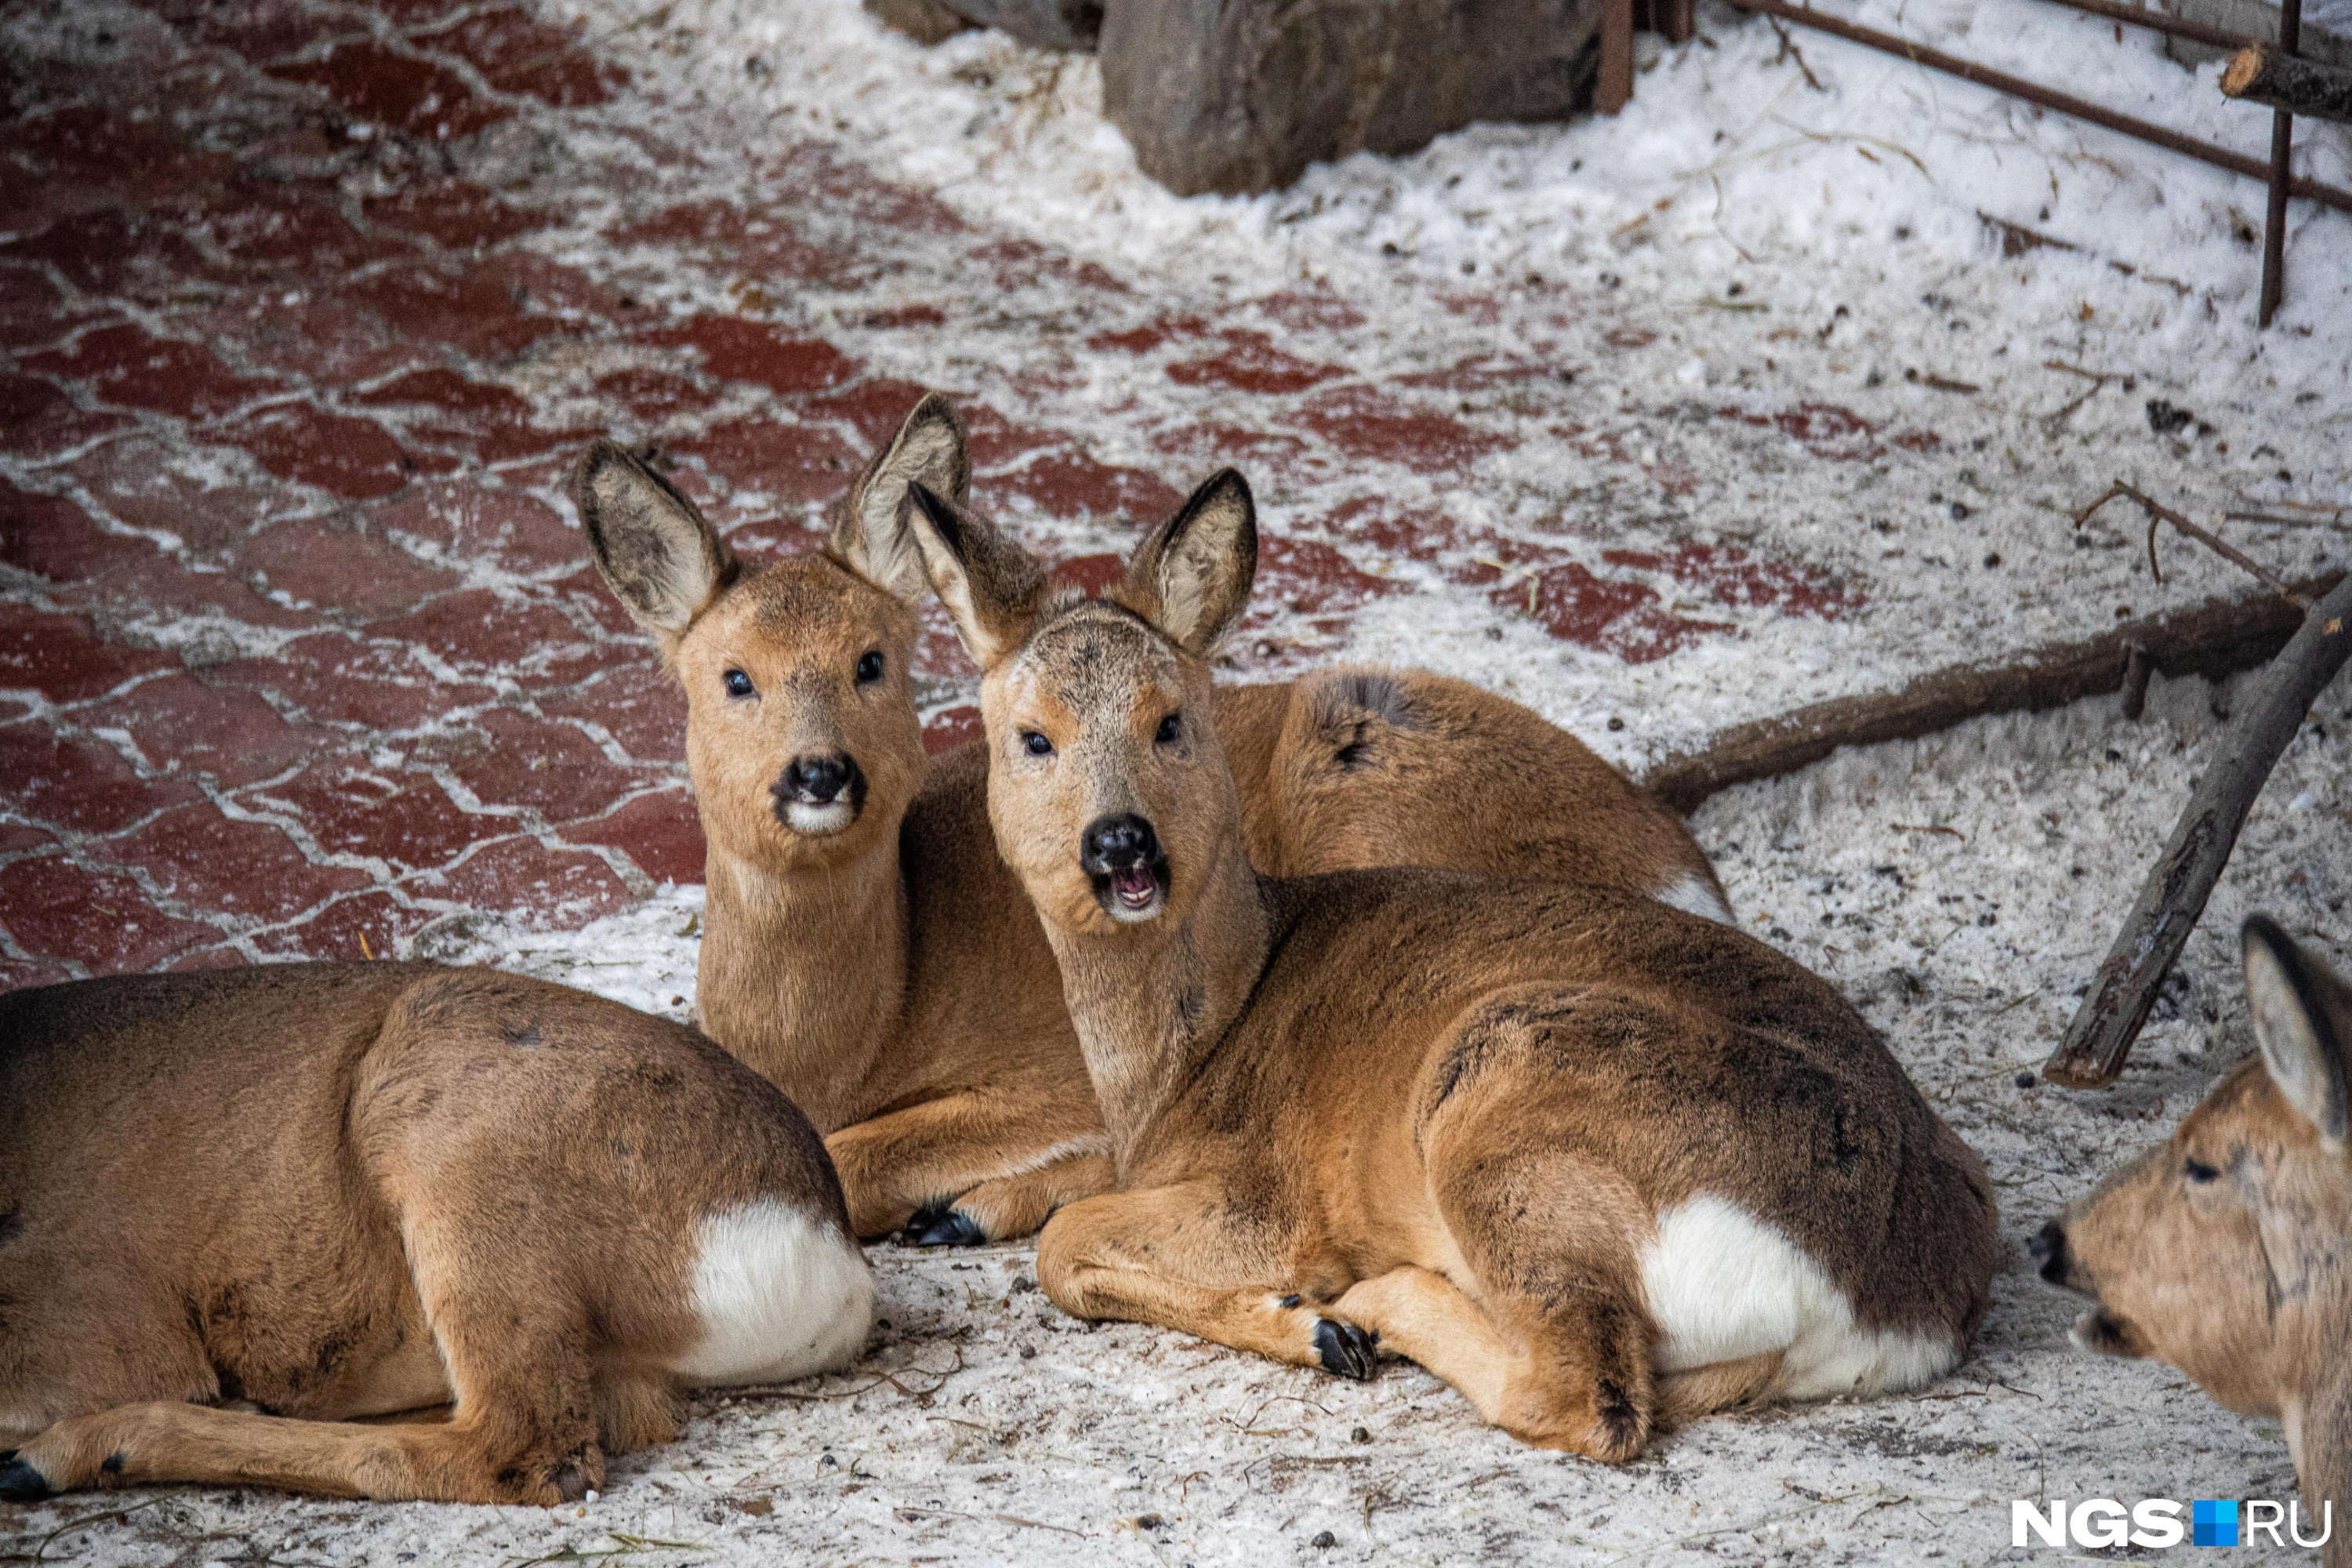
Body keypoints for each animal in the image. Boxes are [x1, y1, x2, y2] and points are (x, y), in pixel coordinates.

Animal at [560, 394, 1722, 1250]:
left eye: (873, 661)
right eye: (732, 677)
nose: (819, 772)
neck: (857, 1033)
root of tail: (1688, 879)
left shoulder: (1056, 1070)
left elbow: (852, 1158)